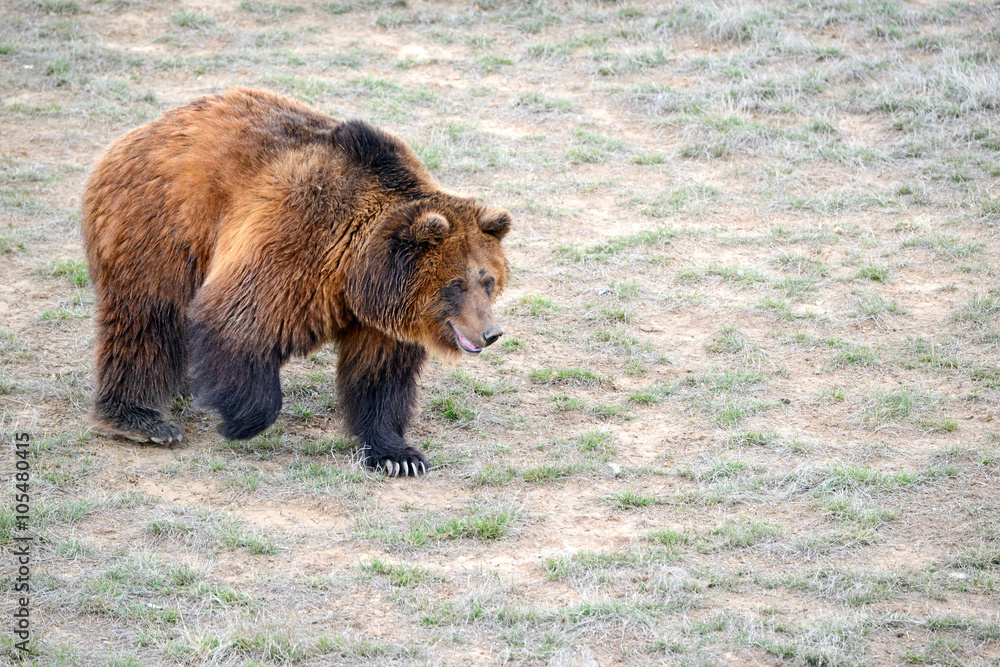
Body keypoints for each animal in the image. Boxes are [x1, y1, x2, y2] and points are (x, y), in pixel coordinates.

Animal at [81, 87, 510, 477]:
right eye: (455, 285)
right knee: (147, 318)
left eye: (487, 280)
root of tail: (144, 130)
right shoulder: (297, 243)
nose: (491, 333)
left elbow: (380, 377)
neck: (356, 272)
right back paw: (141, 420)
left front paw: (398, 455)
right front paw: (238, 420)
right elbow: (239, 320)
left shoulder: (381, 316)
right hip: (161, 225)